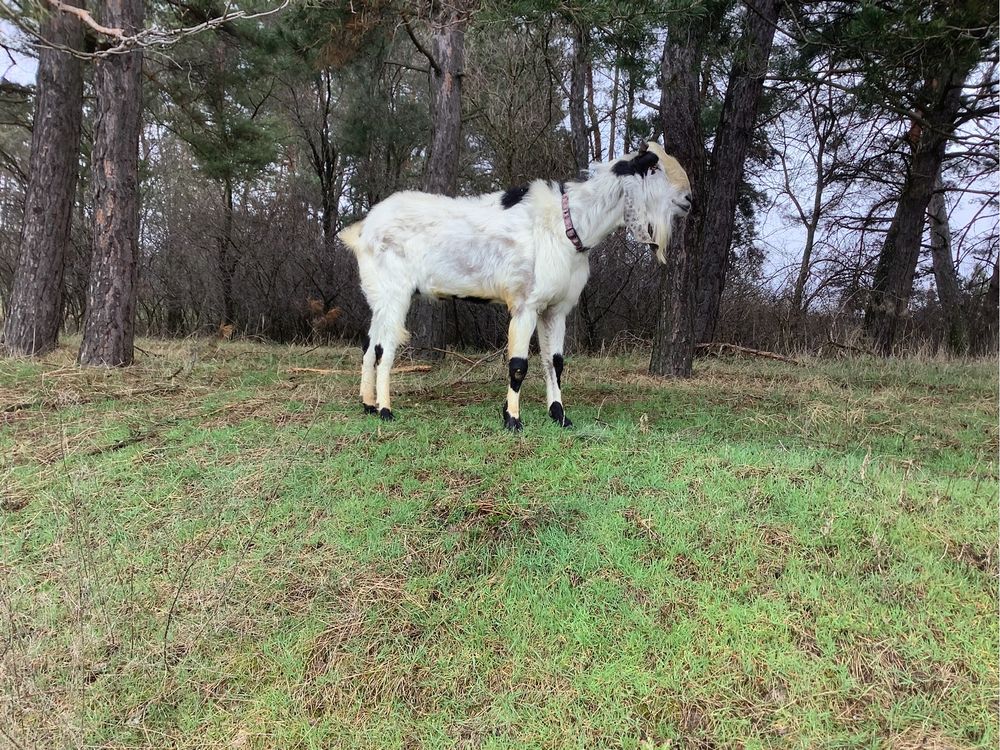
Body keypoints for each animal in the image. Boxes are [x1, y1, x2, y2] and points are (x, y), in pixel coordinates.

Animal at [340, 141, 692, 432]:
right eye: (653, 168)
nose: (689, 199)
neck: (569, 224)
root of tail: (364, 230)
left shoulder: (556, 309)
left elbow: (556, 362)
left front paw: (560, 416)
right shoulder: (526, 304)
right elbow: (519, 365)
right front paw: (512, 419)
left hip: (378, 296)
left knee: (369, 344)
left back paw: (368, 404)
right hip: (394, 293)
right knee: (386, 346)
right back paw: (385, 410)